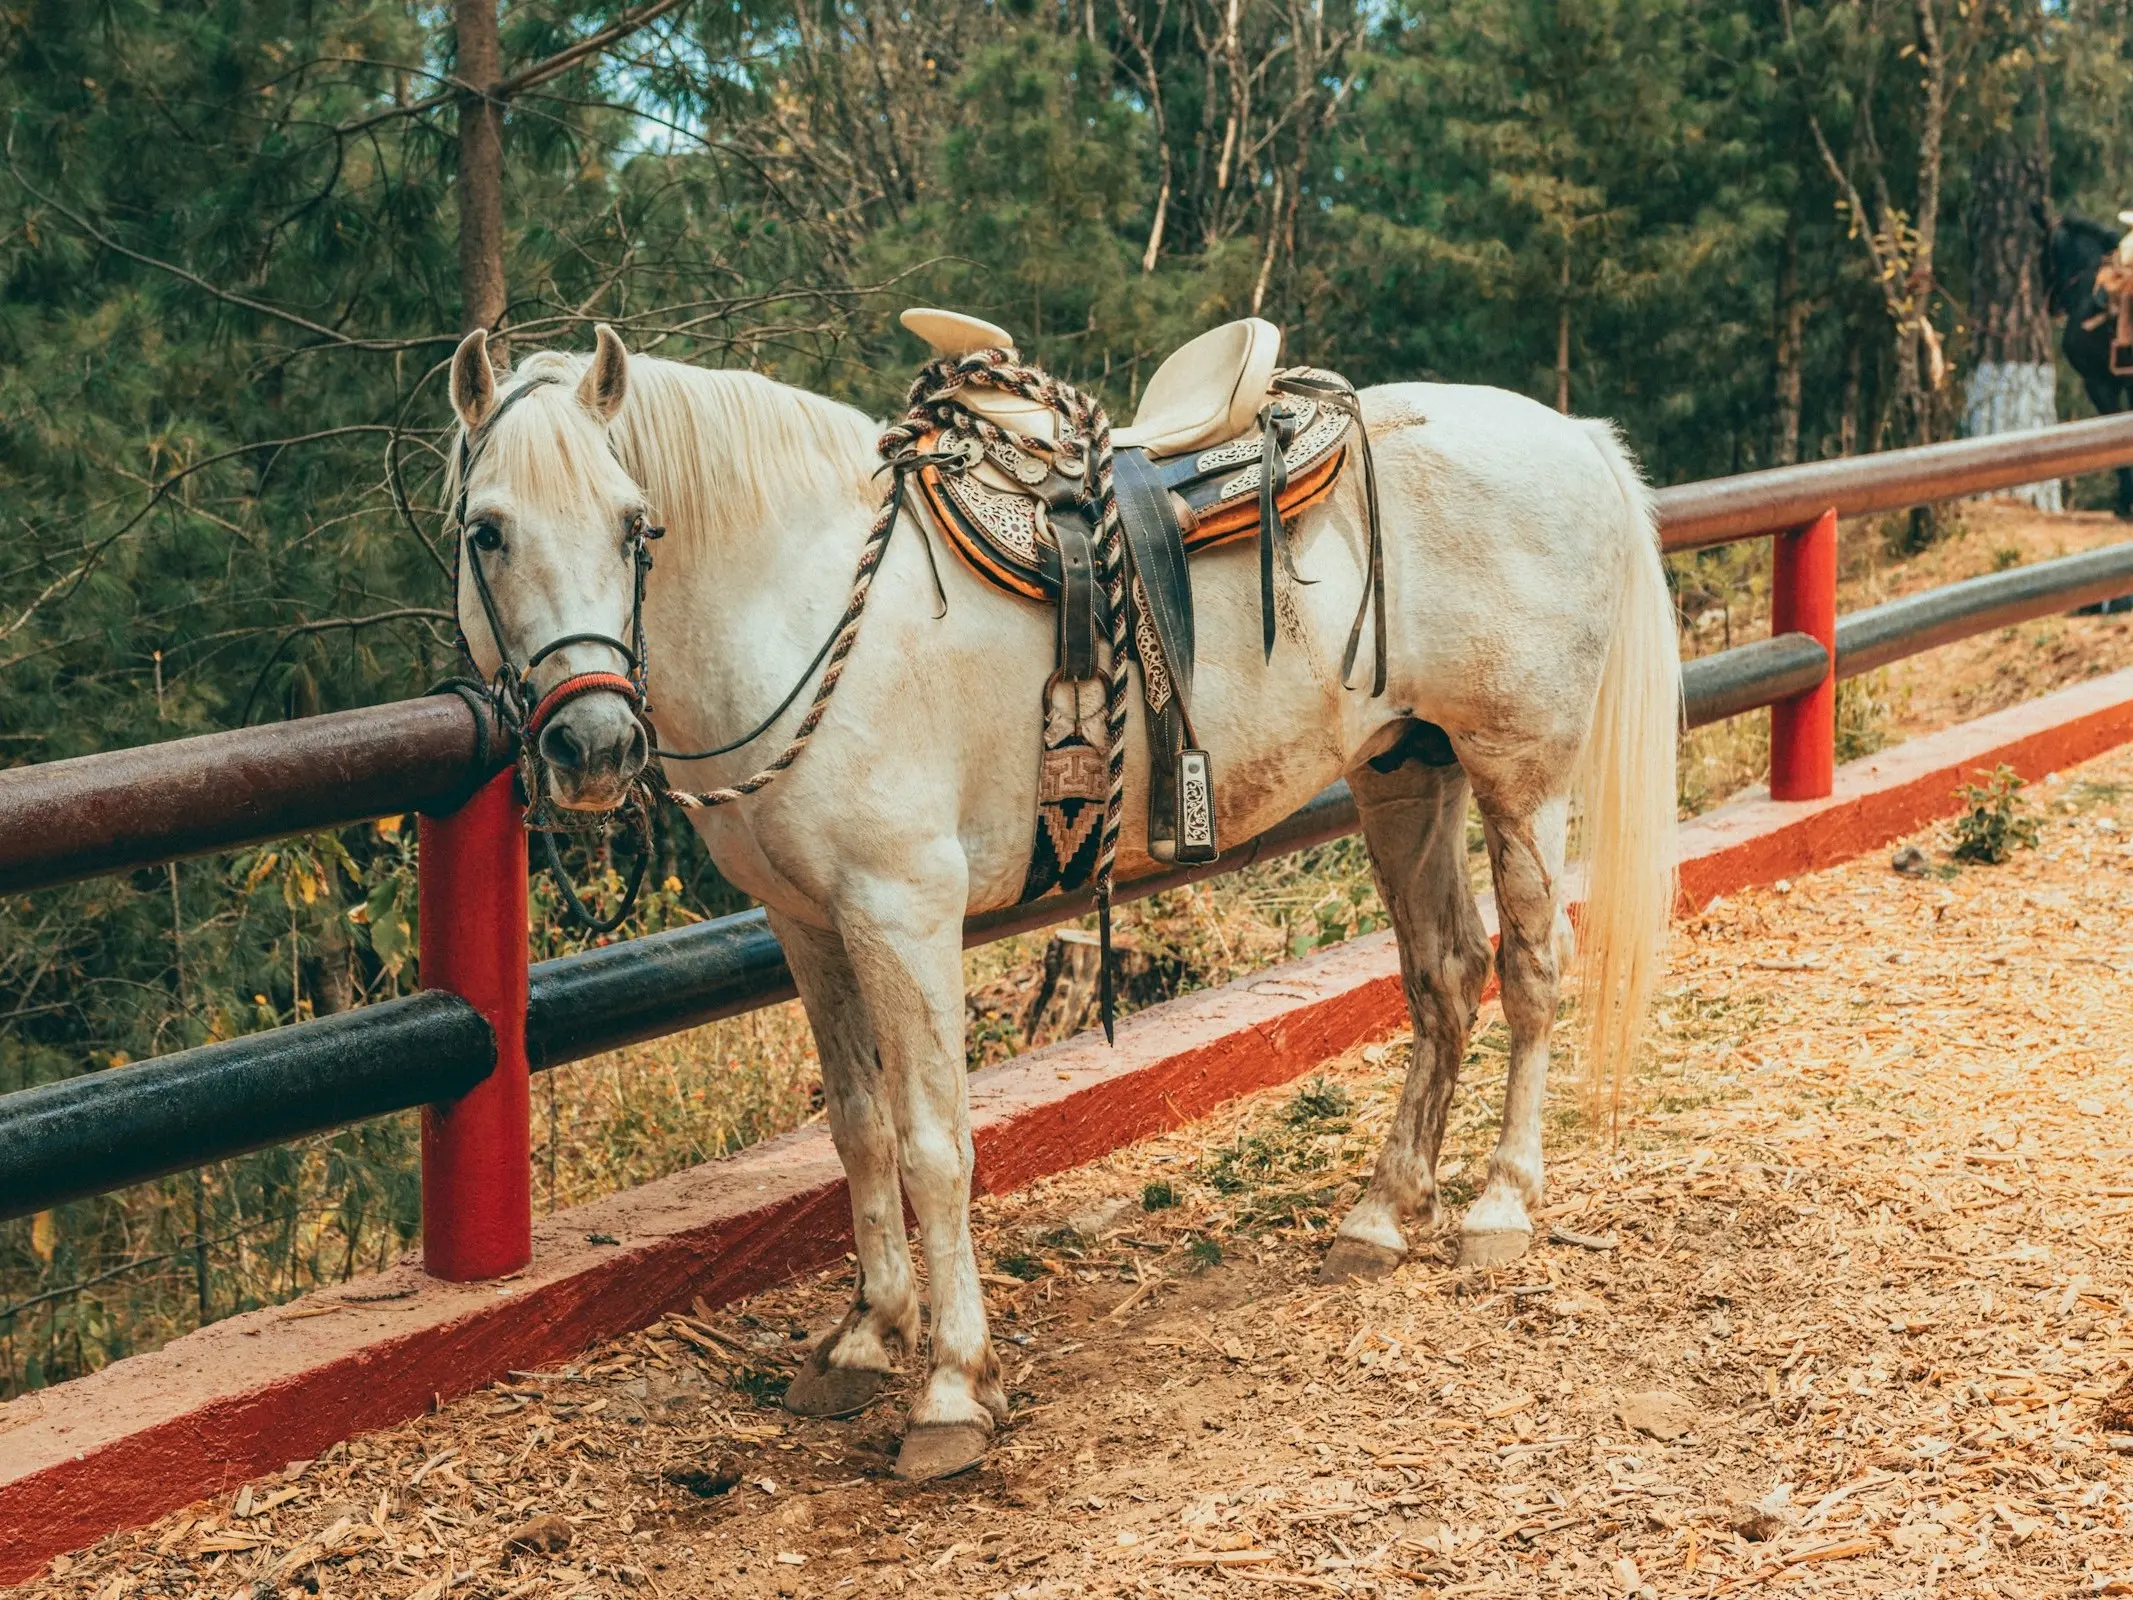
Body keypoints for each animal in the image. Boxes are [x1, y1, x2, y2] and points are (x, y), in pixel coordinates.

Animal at [445, 328, 1680, 1493]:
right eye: (486, 532)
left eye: (633, 525)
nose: (593, 746)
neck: (810, 598)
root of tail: (1571, 436)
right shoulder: (809, 927)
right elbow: (858, 1130)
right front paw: (864, 1338)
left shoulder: (902, 912)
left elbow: (934, 1145)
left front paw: (951, 1389)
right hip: (1405, 770)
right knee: (1442, 973)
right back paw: (1381, 1213)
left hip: (1520, 775)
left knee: (1530, 967)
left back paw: (1500, 1205)